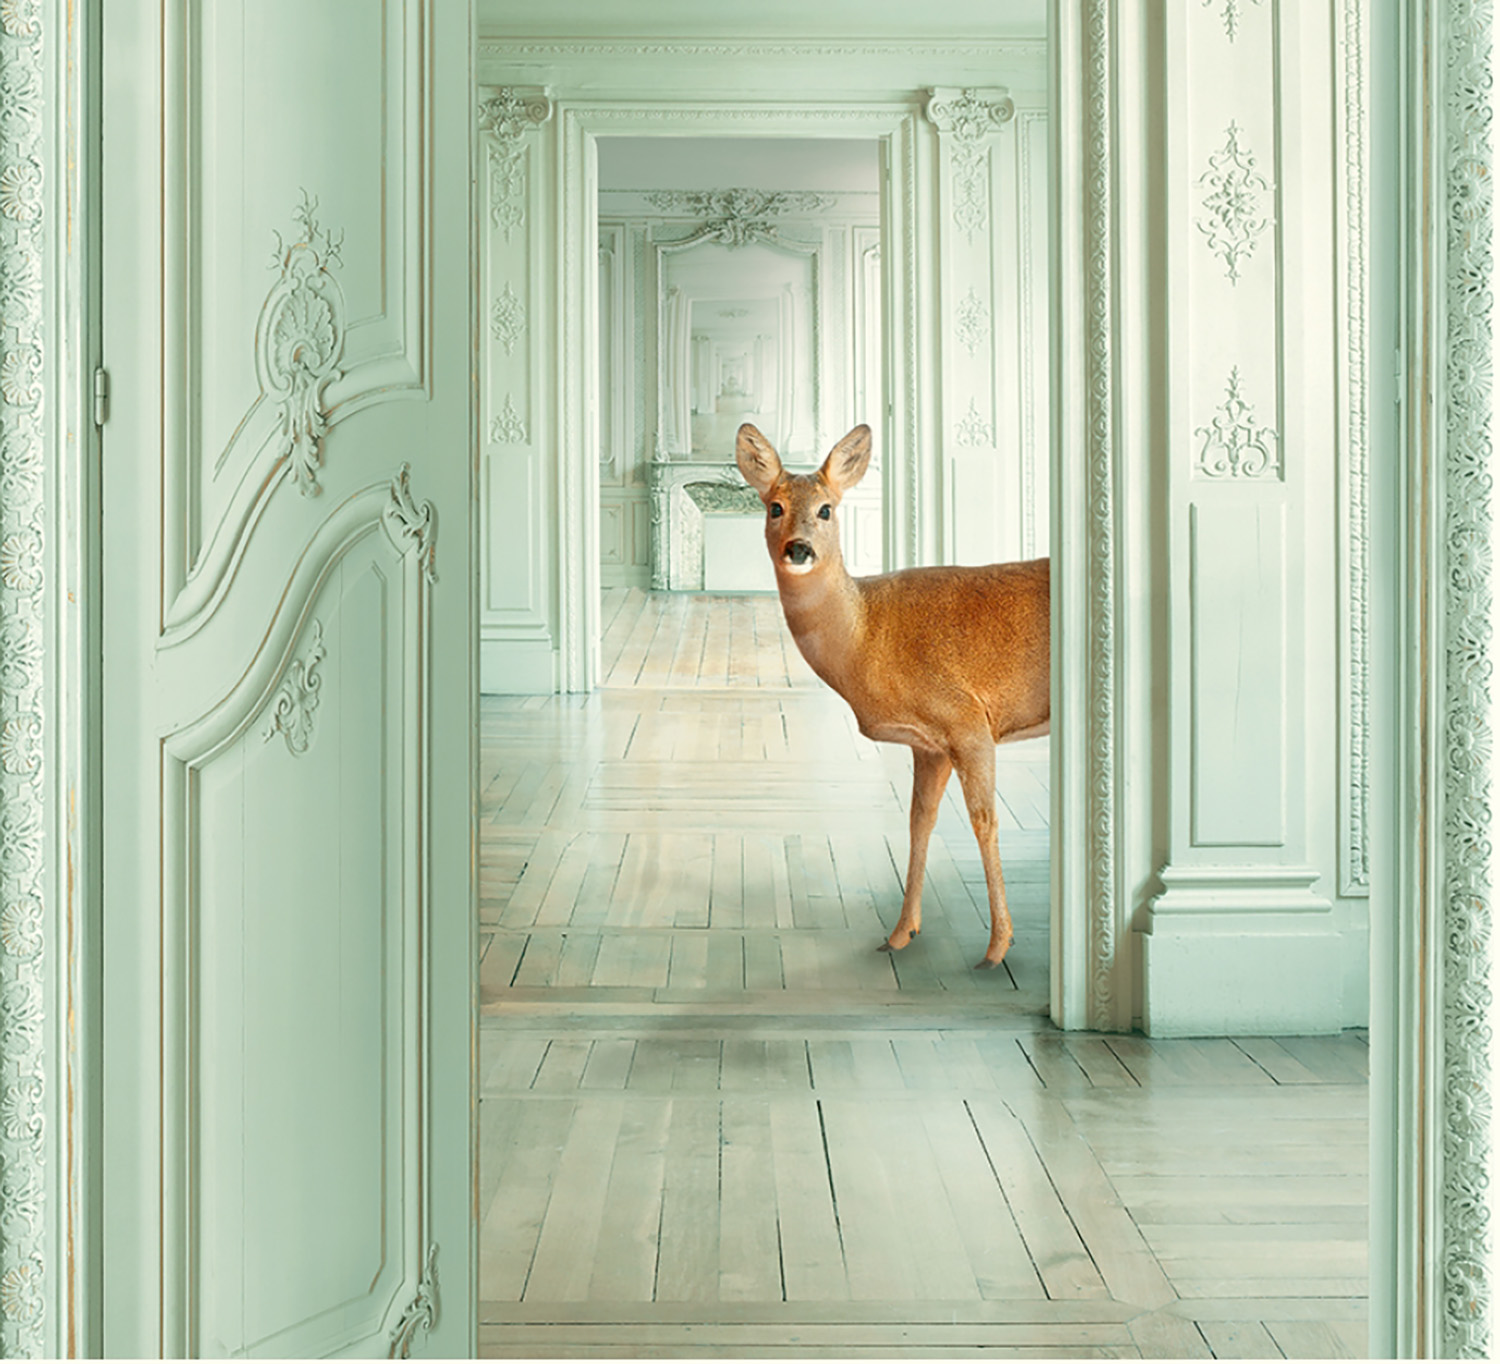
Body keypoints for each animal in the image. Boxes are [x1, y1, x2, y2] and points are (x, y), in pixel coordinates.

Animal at [736, 422, 1049, 969]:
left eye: (826, 509)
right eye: (774, 506)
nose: (799, 549)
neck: (868, 635)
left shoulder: (969, 720)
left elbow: (984, 821)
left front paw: (996, 948)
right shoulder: (930, 744)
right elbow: (918, 822)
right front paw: (901, 933)